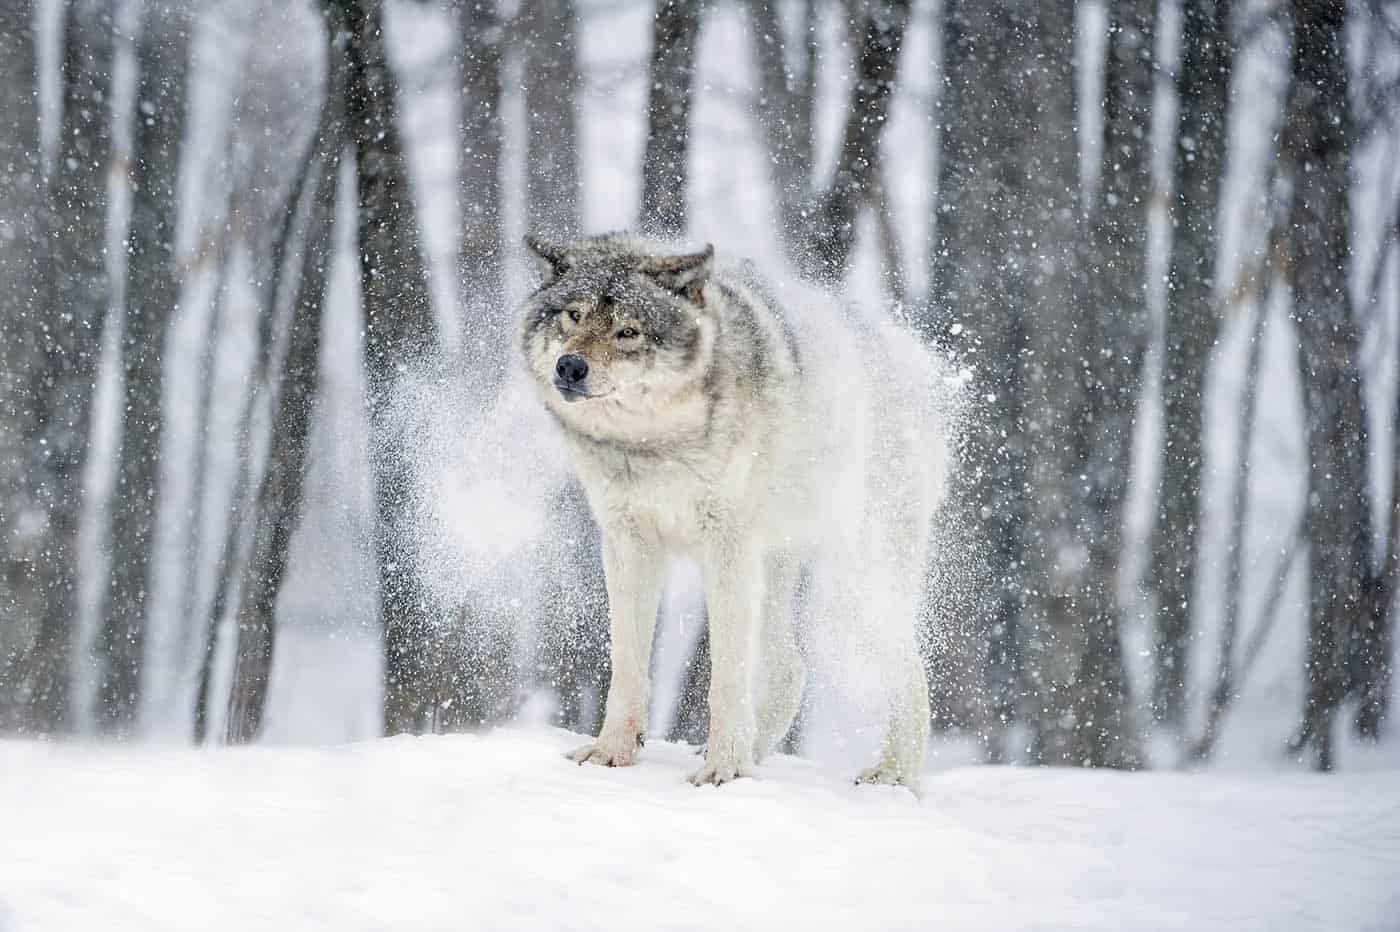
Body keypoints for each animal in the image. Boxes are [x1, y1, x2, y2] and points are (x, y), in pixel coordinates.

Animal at [518, 230, 952, 783]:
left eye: (628, 331)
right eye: (573, 315)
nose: (570, 366)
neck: (654, 445)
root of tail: (912, 363)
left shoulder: (725, 548)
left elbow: (726, 676)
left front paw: (723, 772)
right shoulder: (627, 544)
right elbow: (628, 664)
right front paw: (613, 752)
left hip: (856, 581)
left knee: (911, 671)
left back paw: (893, 775)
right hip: (778, 568)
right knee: (791, 669)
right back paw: (757, 752)